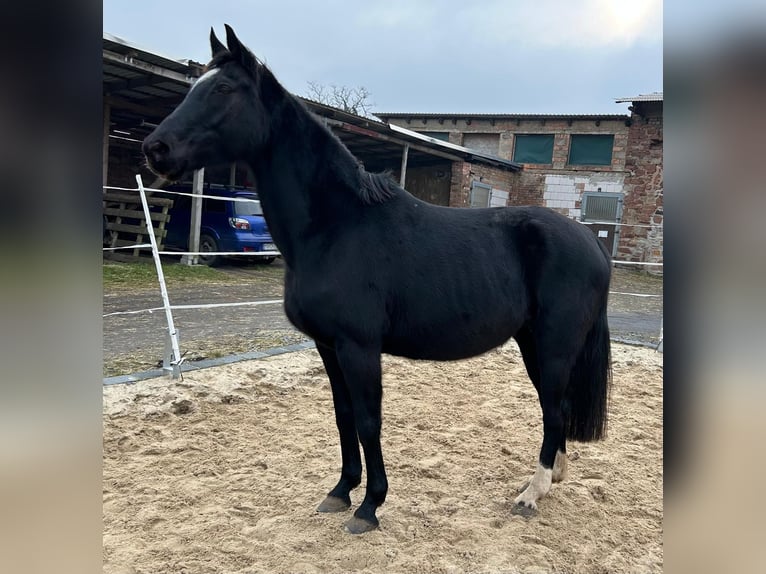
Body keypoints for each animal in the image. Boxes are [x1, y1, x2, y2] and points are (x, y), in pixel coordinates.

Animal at [142, 25, 612, 536]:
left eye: (224, 89)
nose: (155, 149)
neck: (336, 226)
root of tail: (591, 242)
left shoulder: (359, 346)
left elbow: (369, 421)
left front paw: (370, 506)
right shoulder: (328, 346)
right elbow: (343, 416)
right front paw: (340, 491)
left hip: (553, 344)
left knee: (553, 408)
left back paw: (531, 494)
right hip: (532, 342)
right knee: (555, 407)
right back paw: (550, 479)